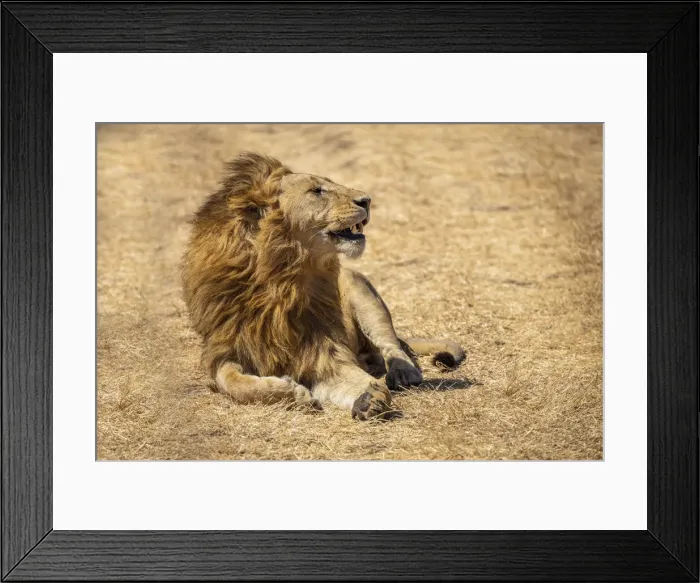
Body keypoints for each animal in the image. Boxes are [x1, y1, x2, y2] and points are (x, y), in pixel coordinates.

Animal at [182, 152, 465, 420]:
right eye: (317, 190)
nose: (367, 200)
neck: (280, 279)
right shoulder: (227, 348)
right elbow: (233, 382)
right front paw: (290, 391)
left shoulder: (322, 353)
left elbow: (361, 380)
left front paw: (370, 397)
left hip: (359, 289)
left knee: (392, 344)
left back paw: (403, 373)